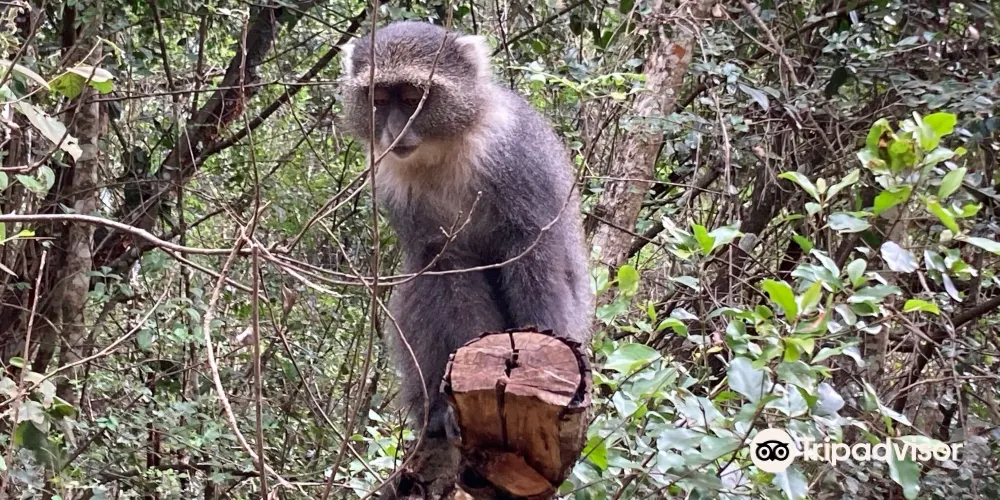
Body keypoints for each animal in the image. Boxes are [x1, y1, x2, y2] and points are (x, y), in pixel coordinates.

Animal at [338, 21, 594, 447]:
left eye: (414, 98)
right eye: (379, 98)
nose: (395, 132)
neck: (444, 147)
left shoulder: (513, 153)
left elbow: (533, 254)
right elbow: (446, 267)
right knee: (420, 285)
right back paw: (435, 413)